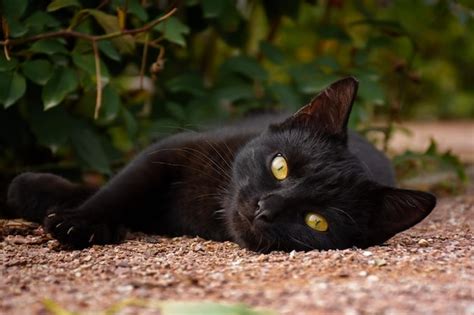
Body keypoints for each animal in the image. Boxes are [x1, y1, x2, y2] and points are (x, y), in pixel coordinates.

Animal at [7, 78, 436, 253]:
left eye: (317, 221)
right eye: (280, 167)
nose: (265, 208)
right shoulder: (168, 153)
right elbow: (118, 189)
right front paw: (76, 220)